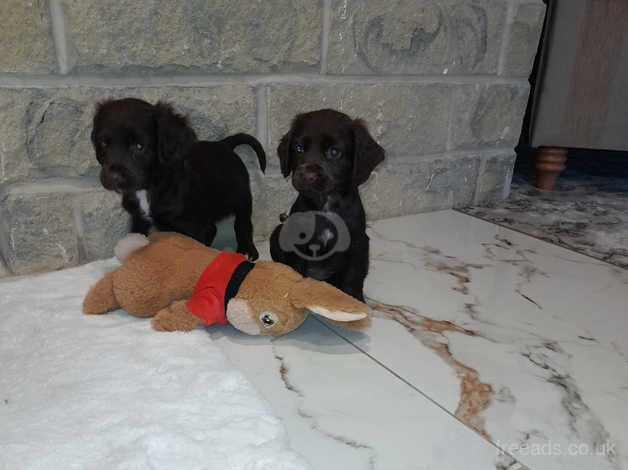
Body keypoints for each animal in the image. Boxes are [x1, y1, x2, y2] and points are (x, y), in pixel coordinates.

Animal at [91, 98, 264, 260]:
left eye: (139, 146)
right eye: (103, 143)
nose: (113, 177)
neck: (149, 187)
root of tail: (224, 144)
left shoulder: (198, 227)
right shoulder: (138, 219)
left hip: (242, 198)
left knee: (243, 224)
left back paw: (247, 250)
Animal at [272, 109, 386, 302]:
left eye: (334, 152)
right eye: (298, 148)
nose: (306, 175)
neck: (325, 204)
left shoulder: (357, 243)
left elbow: (353, 277)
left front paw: (354, 301)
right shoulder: (297, 242)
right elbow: (297, 271)